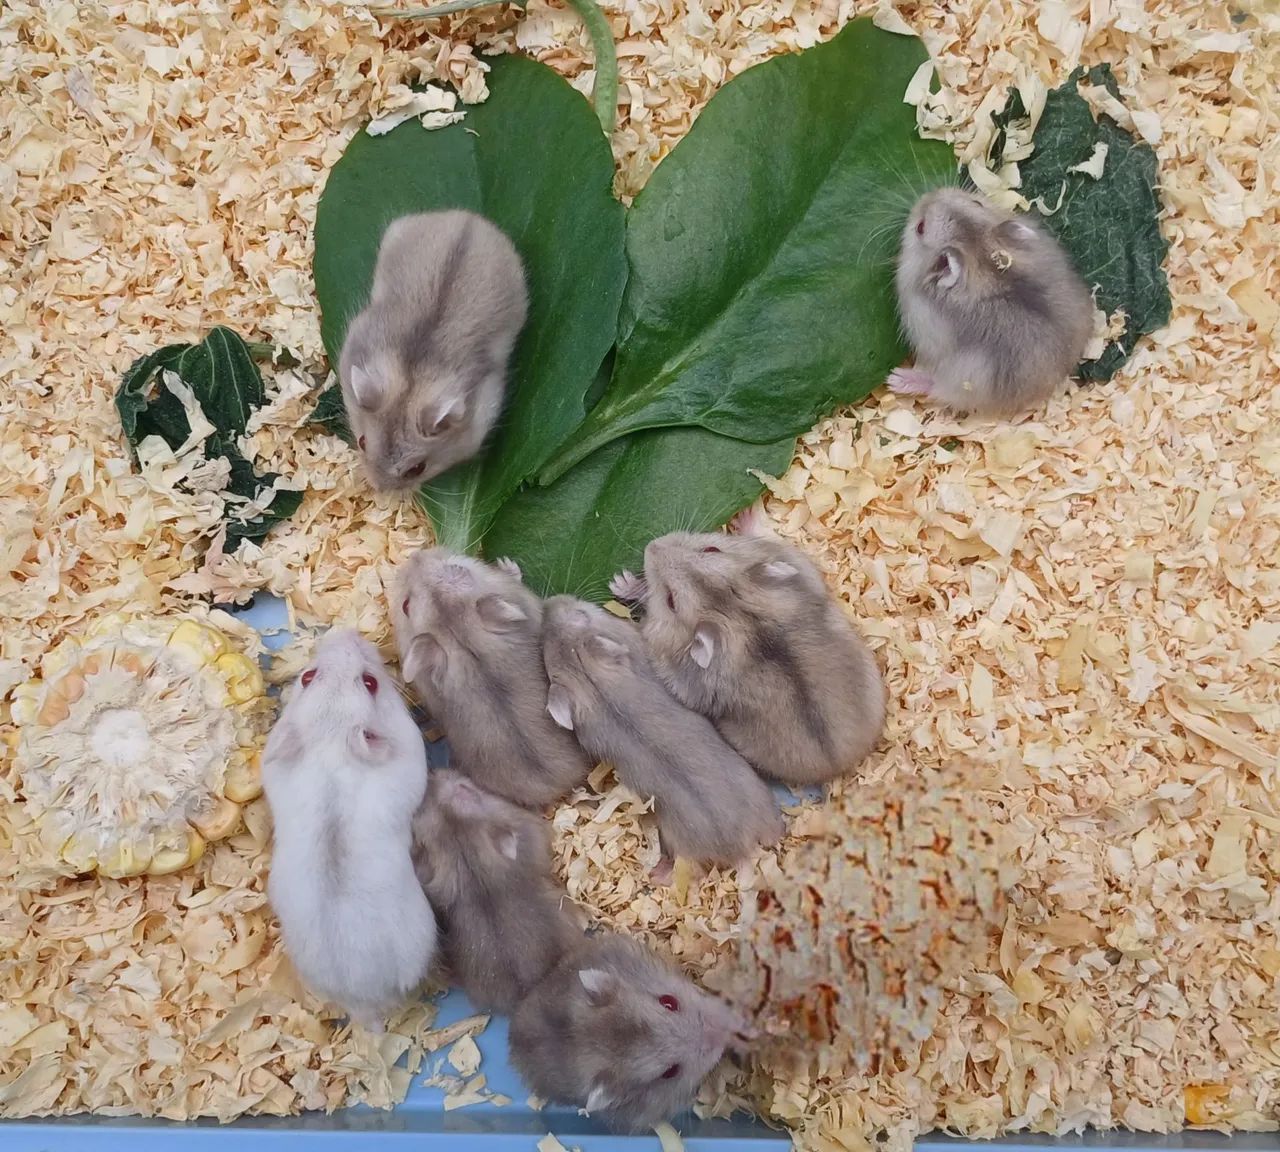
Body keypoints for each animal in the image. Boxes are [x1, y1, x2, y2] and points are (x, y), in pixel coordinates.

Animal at [891, 187, 1095, 417]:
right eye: (977, 202)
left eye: (920, 227)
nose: (928, 195)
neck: (978, 254)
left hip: (964, 379)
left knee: (938, 388)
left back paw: (897, 379)